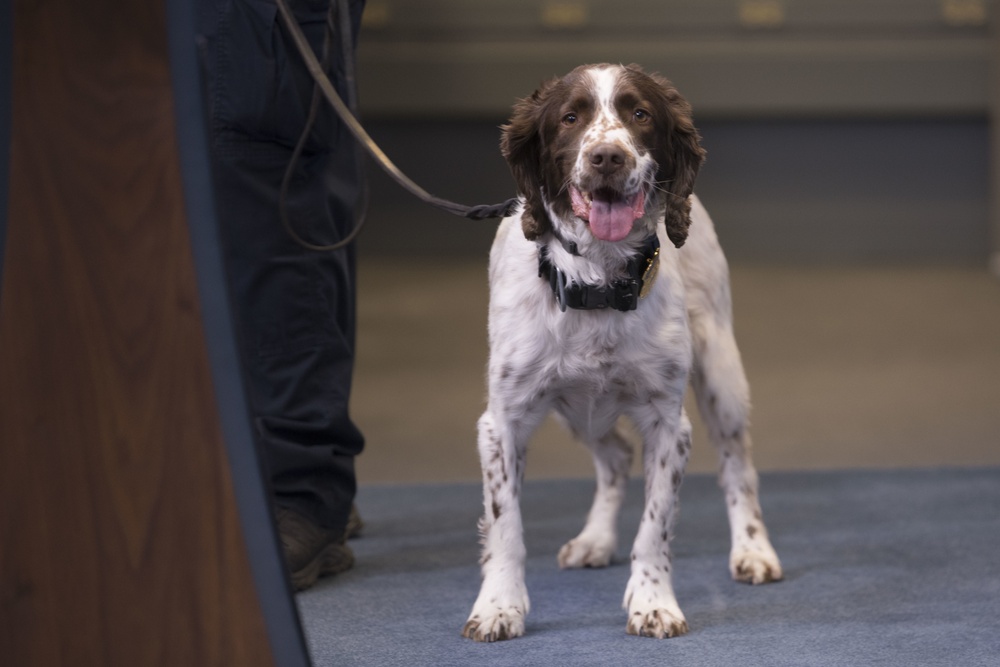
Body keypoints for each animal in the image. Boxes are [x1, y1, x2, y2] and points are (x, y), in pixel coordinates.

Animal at [464, 65, 784, 644]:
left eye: (640, 114)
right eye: (570, 117)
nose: (608, 157)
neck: (596, 282)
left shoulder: (668, 423)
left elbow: (656, 525)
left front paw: (653, 602)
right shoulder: (503, 422)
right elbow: (505, 525)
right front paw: (499, 606)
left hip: (721, 374)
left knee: (736, 466)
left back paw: (752, 548)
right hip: (575, 410)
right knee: (614, 457)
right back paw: (595, 539)